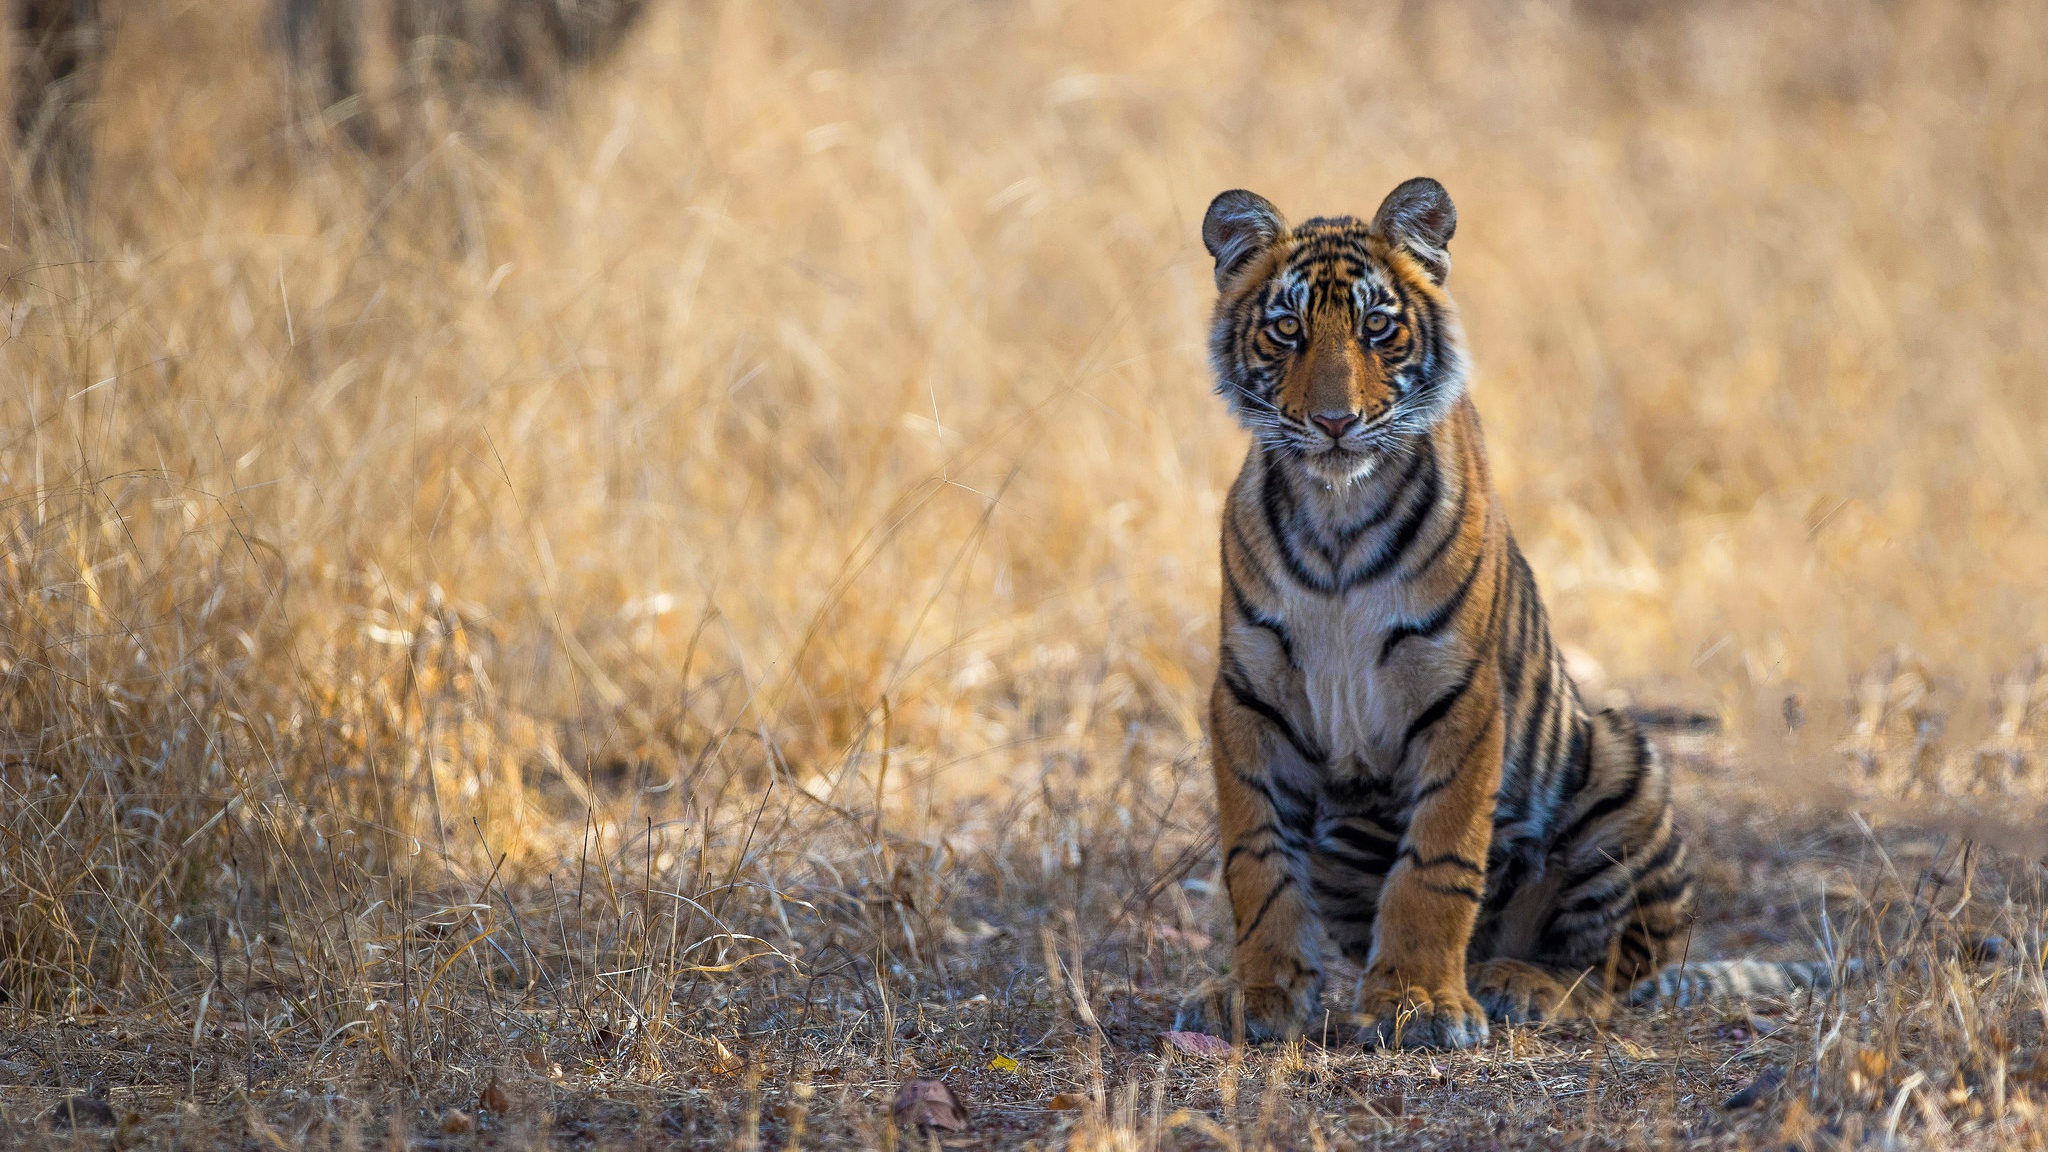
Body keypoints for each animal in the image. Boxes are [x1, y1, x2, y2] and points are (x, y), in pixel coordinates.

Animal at [1179, 175, 1835, 1045]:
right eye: (1287, 330)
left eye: (1378, 327)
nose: (1334, 422)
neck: (1336, 518)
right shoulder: (1248, 698)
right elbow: (1257, 863)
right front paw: (1259, 994)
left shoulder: (1459, 696)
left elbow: (1436, 863)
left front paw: (1420, 1001)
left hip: (1623, 766)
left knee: (1612, 975)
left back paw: (1519, 982)